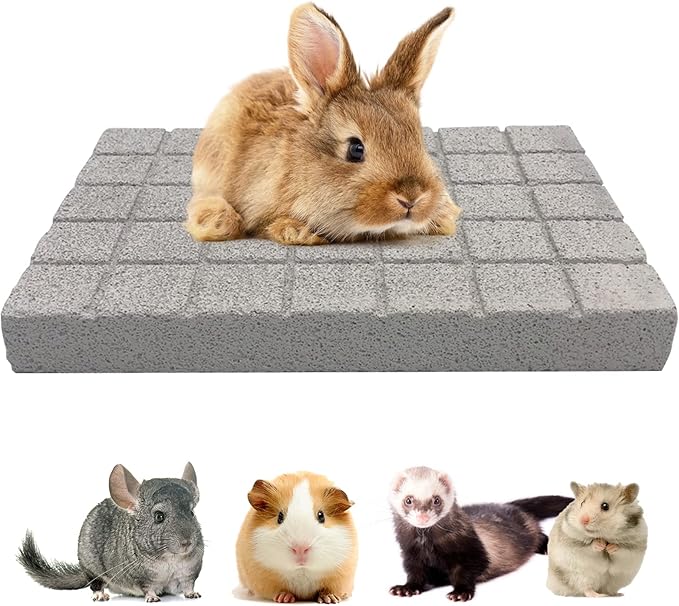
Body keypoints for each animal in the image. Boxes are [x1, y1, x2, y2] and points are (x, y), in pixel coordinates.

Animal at [18, 463, 204, 602]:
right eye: (159, 516)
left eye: (192, 513)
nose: (187, 543)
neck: (170, 559)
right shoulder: (141, 577)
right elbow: (148, 588)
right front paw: (152, 598)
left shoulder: (189, 574)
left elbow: (188, 586)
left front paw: (193, 594)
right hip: (91, 567)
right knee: (96, 584)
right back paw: (101, 596)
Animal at [236, 471, 358, 604]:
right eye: (280, 517)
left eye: (321, 516)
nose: (300, 548)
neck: (302, 570)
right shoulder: (264, 579)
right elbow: (279, 590)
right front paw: (284, 598)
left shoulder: (340, 577)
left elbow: (329, 589)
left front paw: (330, 599)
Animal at [389, 466, 572, 601]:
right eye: (408, 500)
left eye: (436, 500)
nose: (423, 517)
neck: (428, 548)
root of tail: (510, 505)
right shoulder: (411, 555)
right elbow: (415, 573)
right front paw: (406, 588)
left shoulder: (472, 552)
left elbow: (466, 571)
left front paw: (460, 592)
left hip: (530, 529)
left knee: (540, 534)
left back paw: (545, 547)